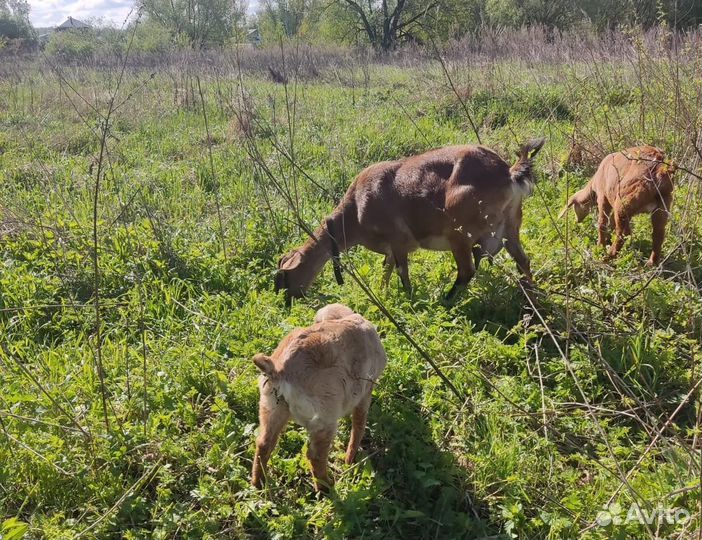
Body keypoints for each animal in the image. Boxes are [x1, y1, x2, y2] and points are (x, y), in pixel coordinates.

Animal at [251, 304, 387, 492]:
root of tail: (278, 370)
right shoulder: (365, 392)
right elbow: (358, 425)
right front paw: (349, 461)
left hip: (271, 408)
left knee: (263, 443)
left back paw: (259, 484)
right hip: (324, 418)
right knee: (315, 455)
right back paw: (327, 487)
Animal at [275, 138, 545, 301]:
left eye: (284, 276)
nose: (284, 301)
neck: (354, 211)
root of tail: (508, 173)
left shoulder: (399, 240)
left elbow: (402, 273)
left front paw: (408, 299)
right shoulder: (390, 248)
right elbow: (386, 270)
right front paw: (383, 294)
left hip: (459, 232)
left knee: (466, 270)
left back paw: (446, 300)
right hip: (510, 225)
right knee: (523, 260)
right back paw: (532, 301)